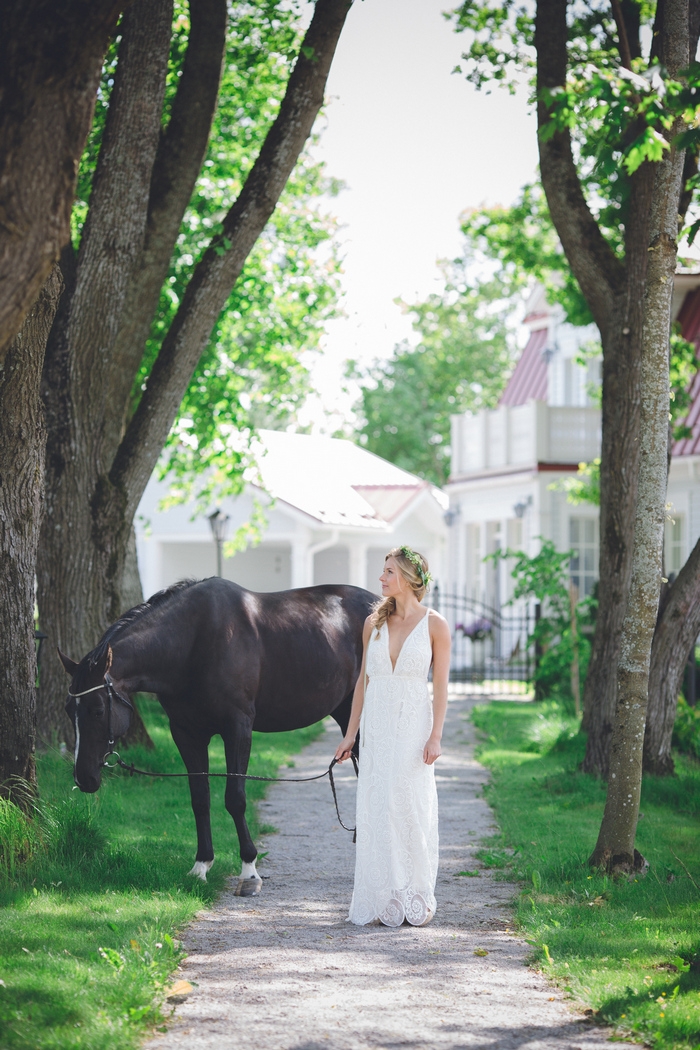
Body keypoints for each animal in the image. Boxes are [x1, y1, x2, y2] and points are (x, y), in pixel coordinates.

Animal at [61, 583, 371, 894]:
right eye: (68, 710)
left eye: (98, 710)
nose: (83, 778)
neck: (192, 643)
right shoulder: (186, 733)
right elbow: (200, 798)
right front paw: (201, 866)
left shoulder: (237, 728)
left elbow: (235, 798)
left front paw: (249, 872)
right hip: (347, 714)